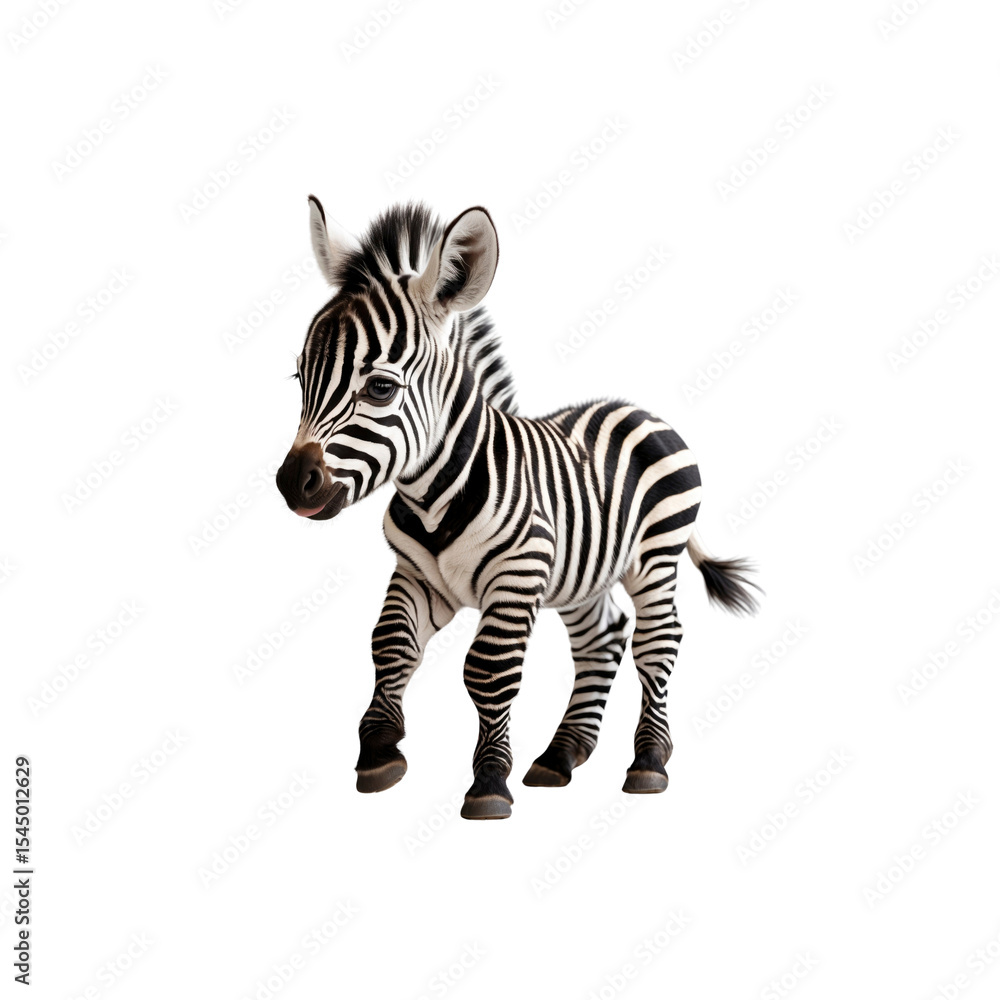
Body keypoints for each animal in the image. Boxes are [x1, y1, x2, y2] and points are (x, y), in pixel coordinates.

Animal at [275, 197, 759, 820]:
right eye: (299, 378)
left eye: (381, 389)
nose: (293, 485)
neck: (433, 493)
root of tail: (640, 410)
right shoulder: (417, 575)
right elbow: (390, 645)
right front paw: (380, 750)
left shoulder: (516, 574)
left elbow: (487, 671)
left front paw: (488, 781)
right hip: (582, 574)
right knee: (603, 638)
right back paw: (561, 754)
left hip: (654, 560)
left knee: (658, 642)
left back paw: (649, 761)